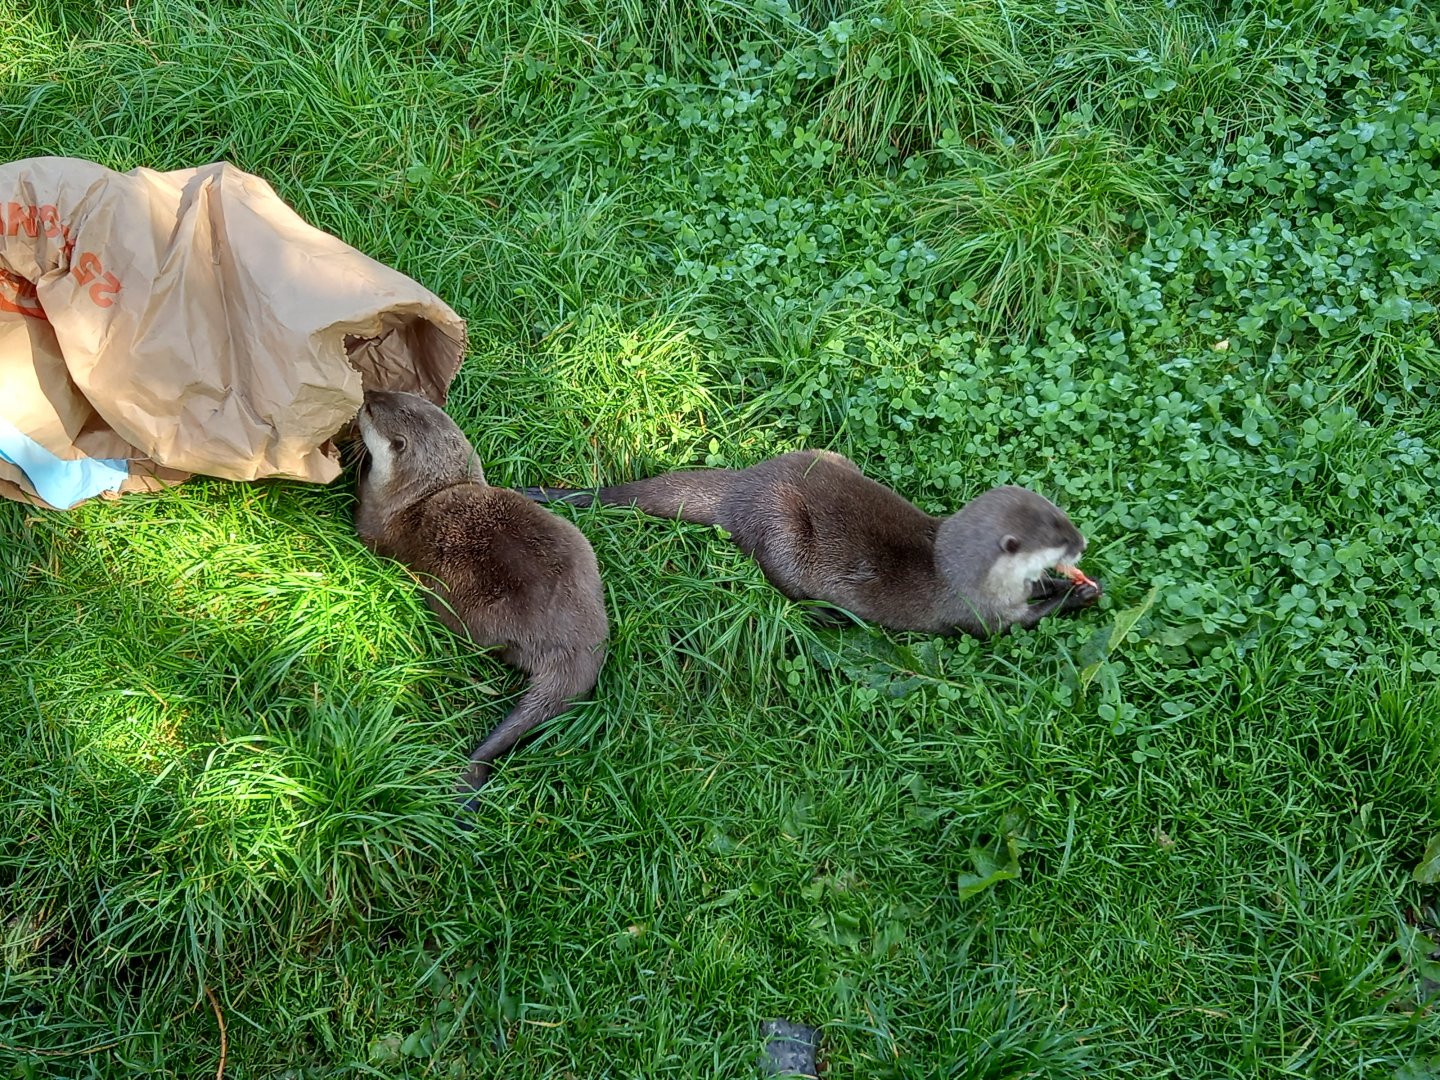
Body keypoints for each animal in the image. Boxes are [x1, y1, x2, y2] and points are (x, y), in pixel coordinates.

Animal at [354, 390, 608, 813]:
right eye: (404, 394)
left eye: (372, 410)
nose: (367, 394)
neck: (420, 496)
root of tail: (581, 647)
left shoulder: (373, 524)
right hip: (582, 552)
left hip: (485, 619)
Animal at [523, 450, 1100, 637]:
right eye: (1058, 538)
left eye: (1063, 517)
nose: (1082, 542)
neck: (957, 571)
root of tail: (740, 490)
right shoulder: (979, 614)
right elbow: (1021, 623)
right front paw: (1077, 594)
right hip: (783, 537)